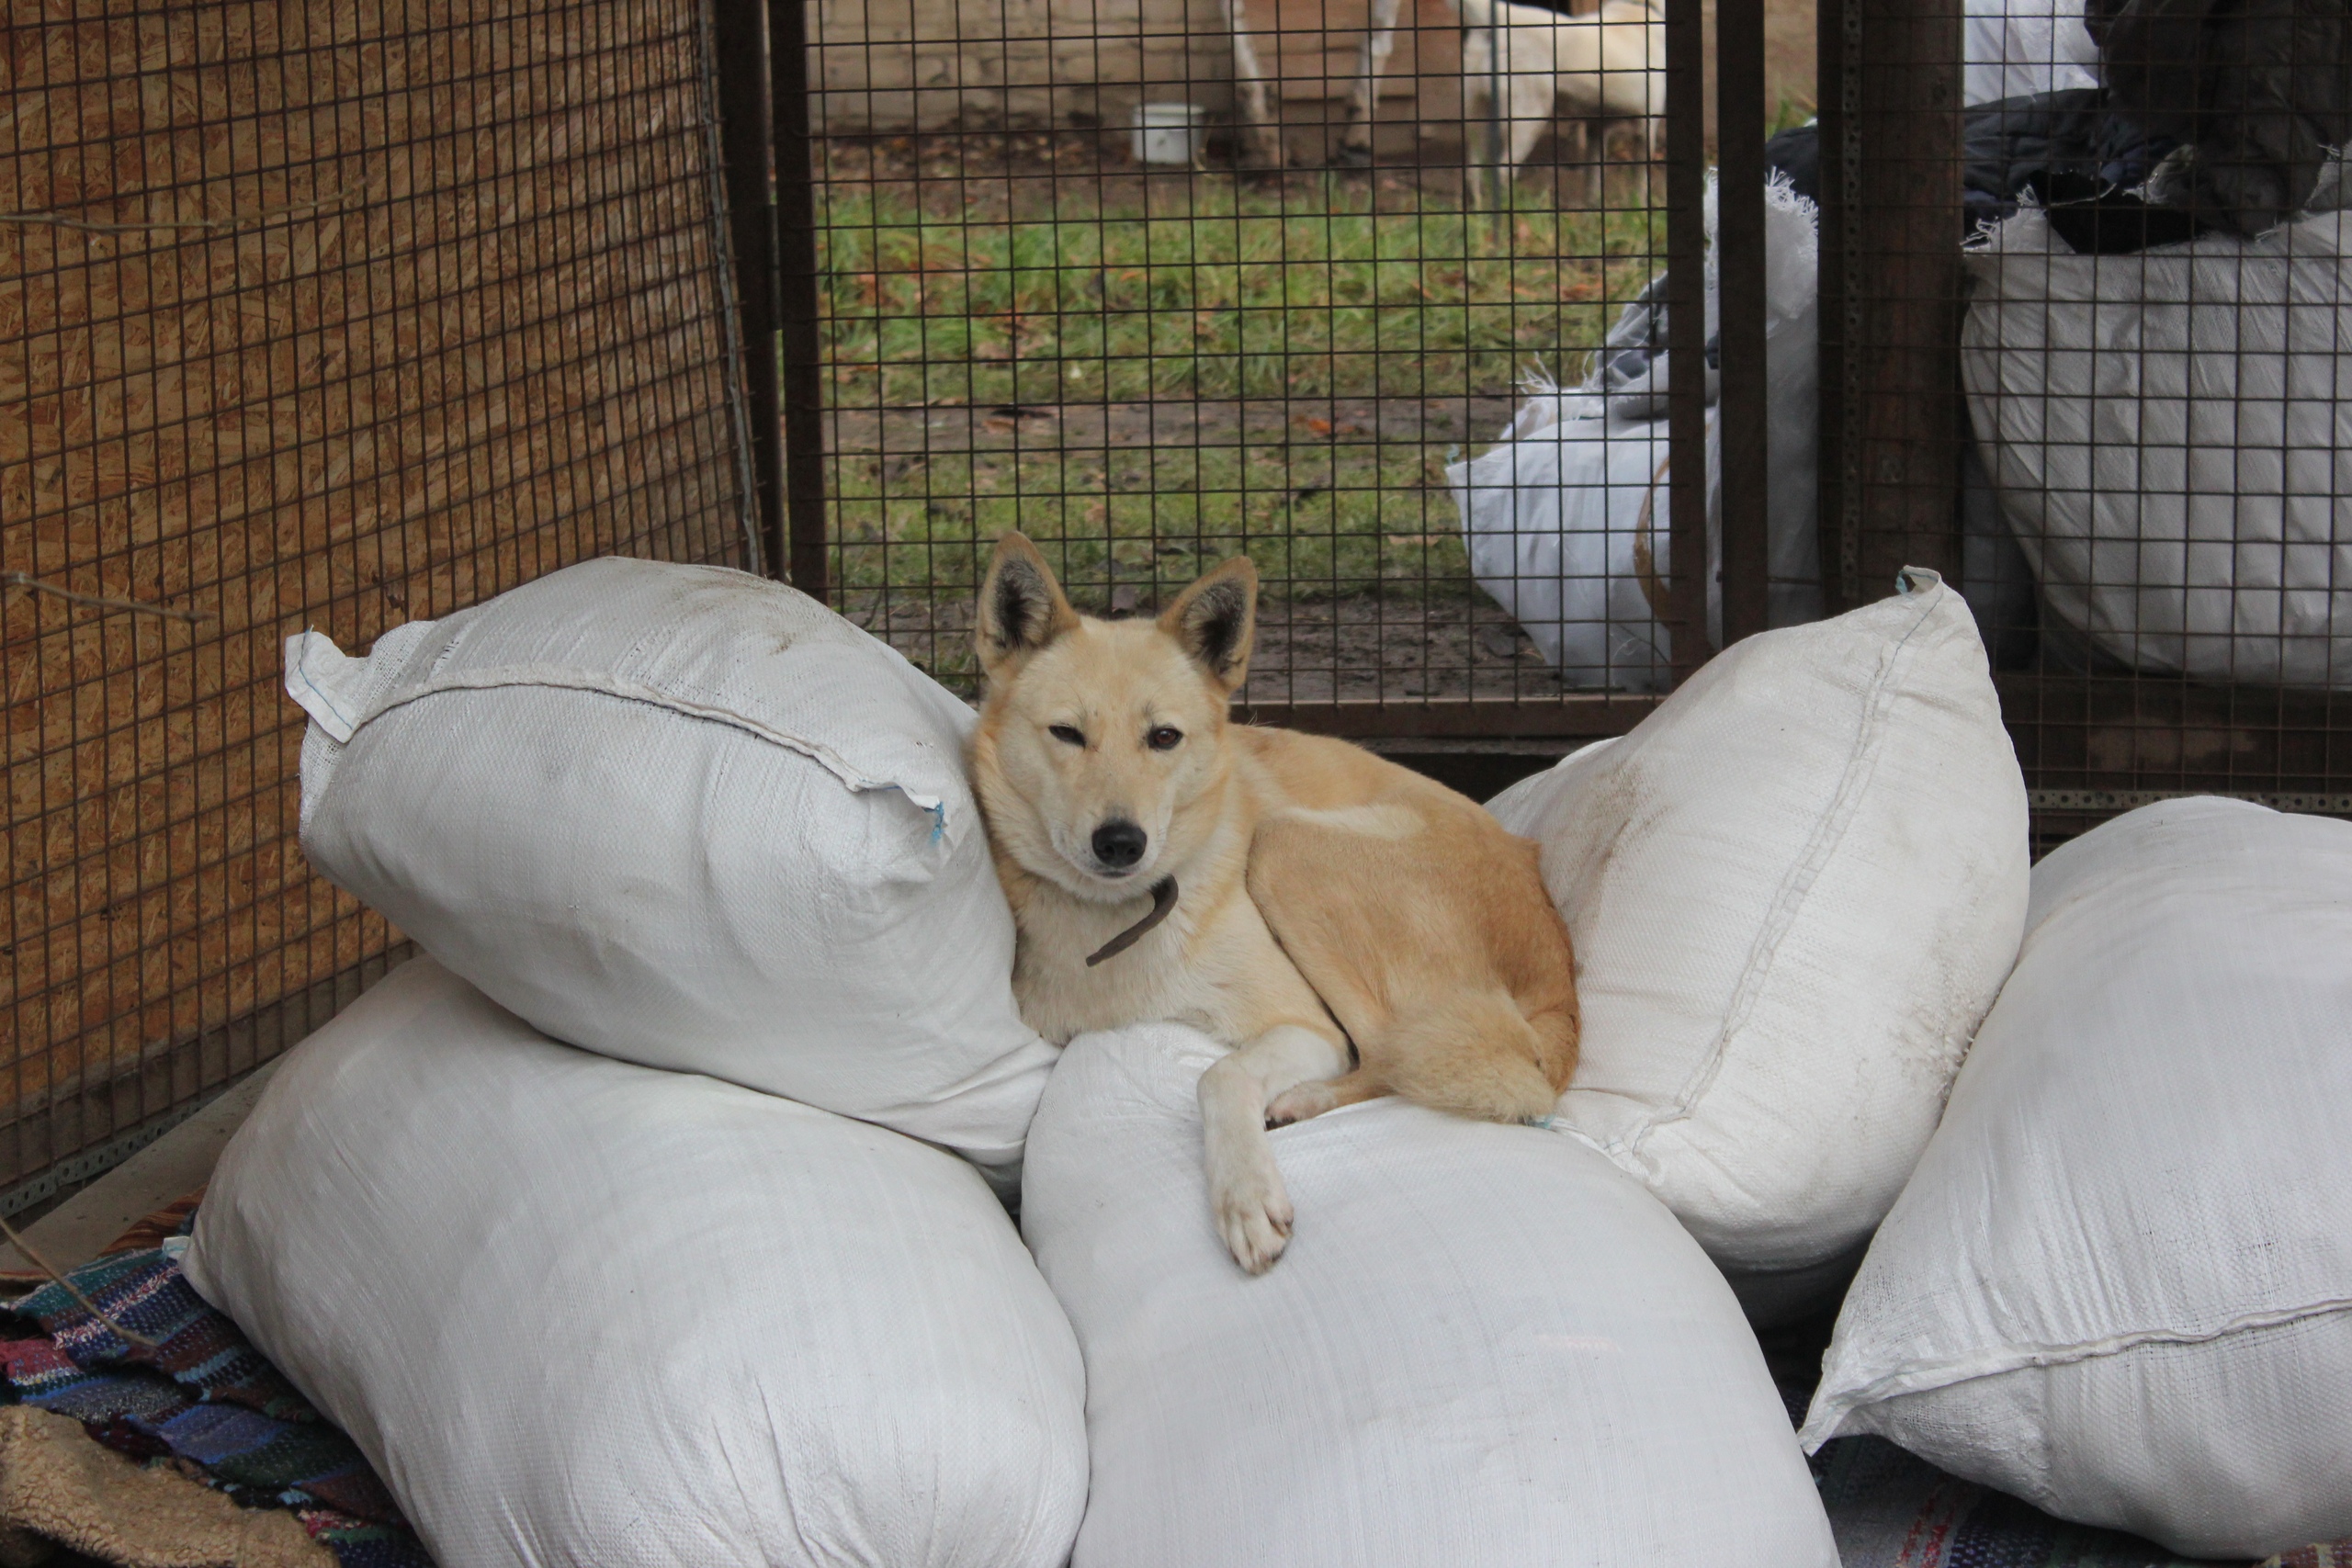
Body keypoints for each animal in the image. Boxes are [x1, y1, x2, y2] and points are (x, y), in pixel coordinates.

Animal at [964, 536, 1589, 1279]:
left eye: (1164, 737)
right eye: (1065, 733)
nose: (1121, 841)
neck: (1124, 922)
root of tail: (1558, 975)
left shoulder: (1308, 1027)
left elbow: (1219, 1074)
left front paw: (1246, 1195)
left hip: (1284, 846)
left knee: (1397, 1058)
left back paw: (1305, 1100)